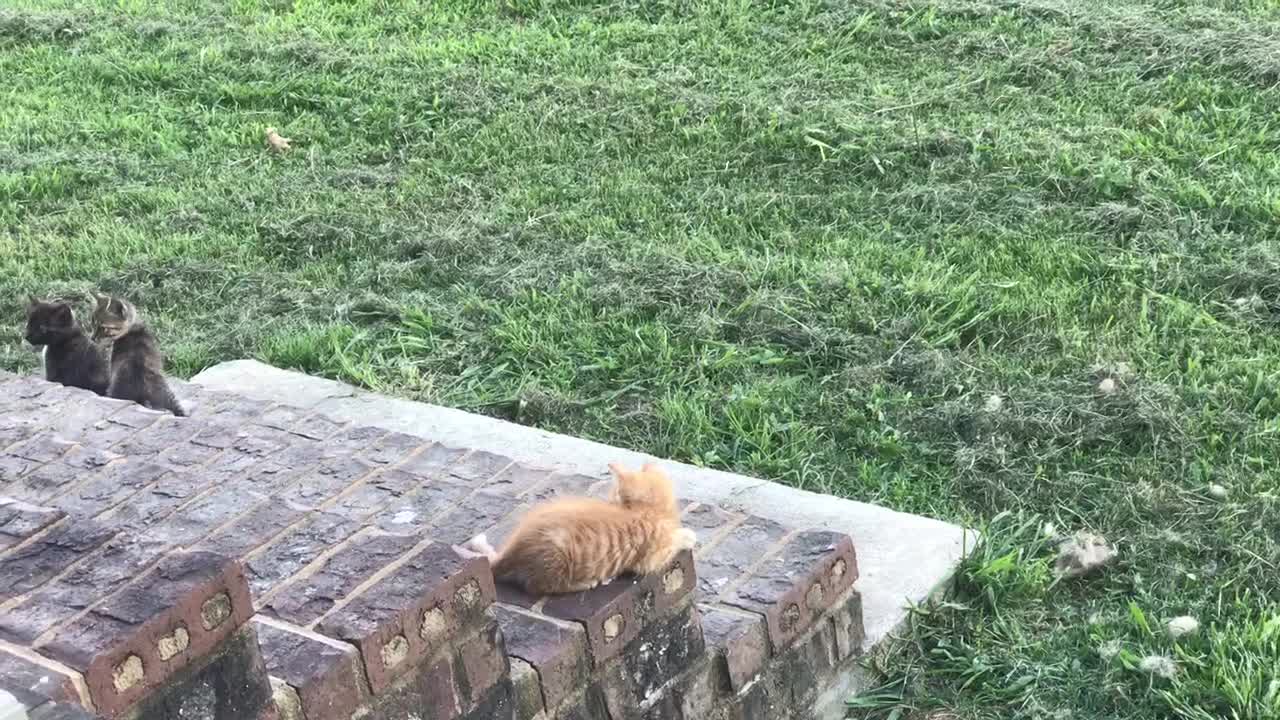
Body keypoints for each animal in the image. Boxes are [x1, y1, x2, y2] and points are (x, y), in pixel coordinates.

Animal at [465, 461, 696, 591]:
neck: (648, 512)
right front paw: (688, 535)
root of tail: (511, 551)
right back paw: (585, 583)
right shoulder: (651, 559)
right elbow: (675, 542)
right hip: (555, 558)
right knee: (539, 586)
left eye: (614, 495)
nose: (611, 500)